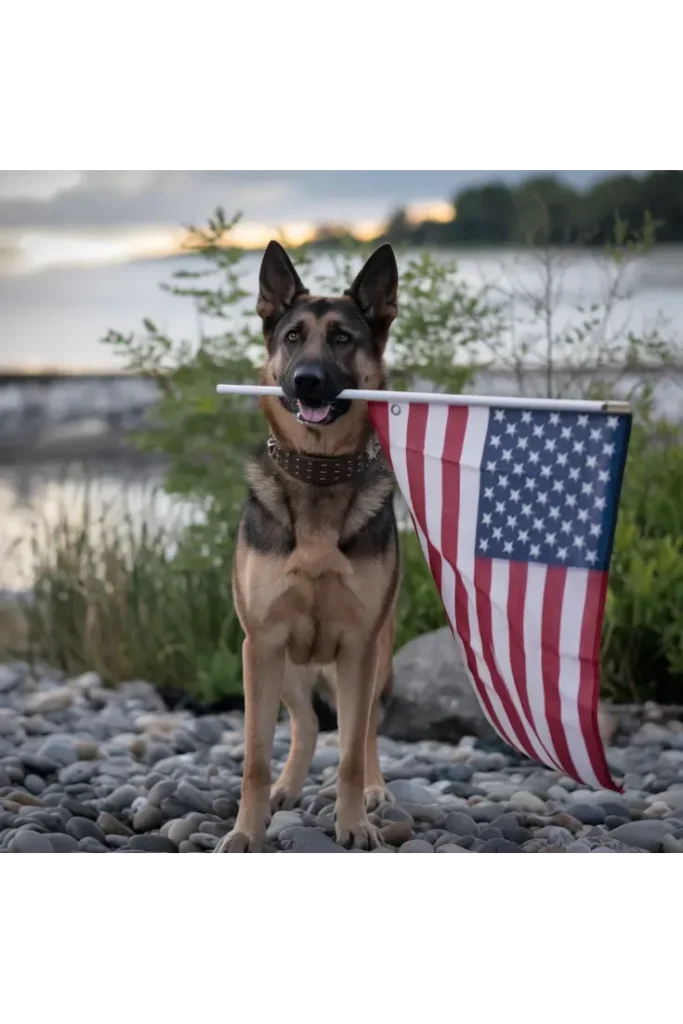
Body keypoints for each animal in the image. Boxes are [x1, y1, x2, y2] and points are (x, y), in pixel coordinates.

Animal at [215, 239, 401, 856]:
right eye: (293, 336)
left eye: (342, 338)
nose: (307, 382)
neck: (319, 470)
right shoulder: (261, 645)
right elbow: (254, 757)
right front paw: (246, 832)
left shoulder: (359, 648)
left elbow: (350, 753)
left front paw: (354, 823)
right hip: (287, 665)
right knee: (308, 724)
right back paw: (286, 789)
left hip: (375, 658)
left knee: (362, 731)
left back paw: (375, 791)